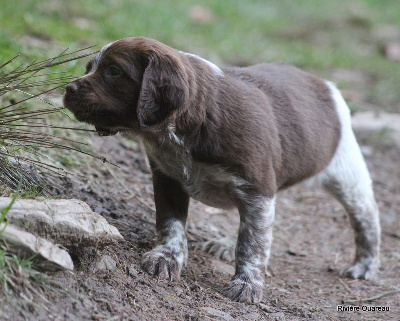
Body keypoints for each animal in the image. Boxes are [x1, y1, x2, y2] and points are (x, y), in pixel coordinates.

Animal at [63, 37, 382, 302]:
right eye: (90, 68)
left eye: (114, 71)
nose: (68, 89)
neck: (188, 126)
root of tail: (325, 85)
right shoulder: (167, 177)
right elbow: (171, 223)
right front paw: (168, 257)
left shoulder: (257, 190)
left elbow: (253, 243)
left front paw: (247, 284)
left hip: (347, 174)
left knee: (366, 218)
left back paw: (364, 265)